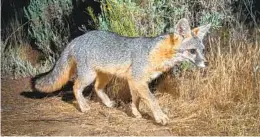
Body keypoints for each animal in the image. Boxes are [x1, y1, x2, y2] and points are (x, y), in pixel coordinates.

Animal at [33, 18, 210, 125]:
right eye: (192, 51)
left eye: (202, 50)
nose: (206, 63)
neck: (157, 53)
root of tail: (76, 39)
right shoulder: (138, 79)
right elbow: (152, 100)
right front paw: (160, 117)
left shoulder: (134, 80)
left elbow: (136, 99)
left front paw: (136, 113)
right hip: (88, 76)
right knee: (76, 87)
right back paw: (83, 107)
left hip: (105, 76)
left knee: (97, 88)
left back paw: (108, 103)